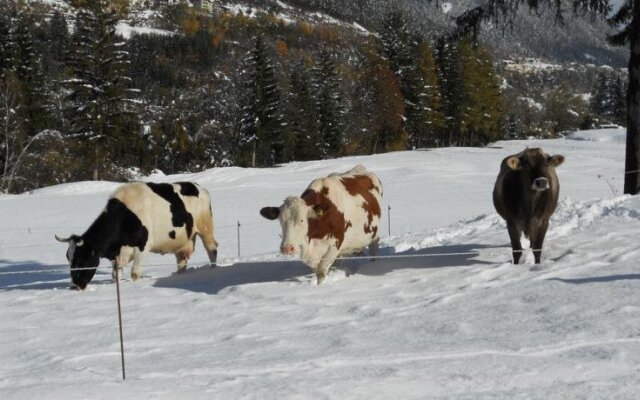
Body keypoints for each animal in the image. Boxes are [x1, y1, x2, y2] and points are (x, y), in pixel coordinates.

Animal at [55, 182, 220, 290]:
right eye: (68, 258)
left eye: (82, 259)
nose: (75, 285)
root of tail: (198, 187)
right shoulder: (118, 254)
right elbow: (116, 275)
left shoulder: (143, 246)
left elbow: (135, 273)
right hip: (182, 241)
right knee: (181, 261)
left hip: (206, 228)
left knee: (212, 249)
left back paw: (213, 269)